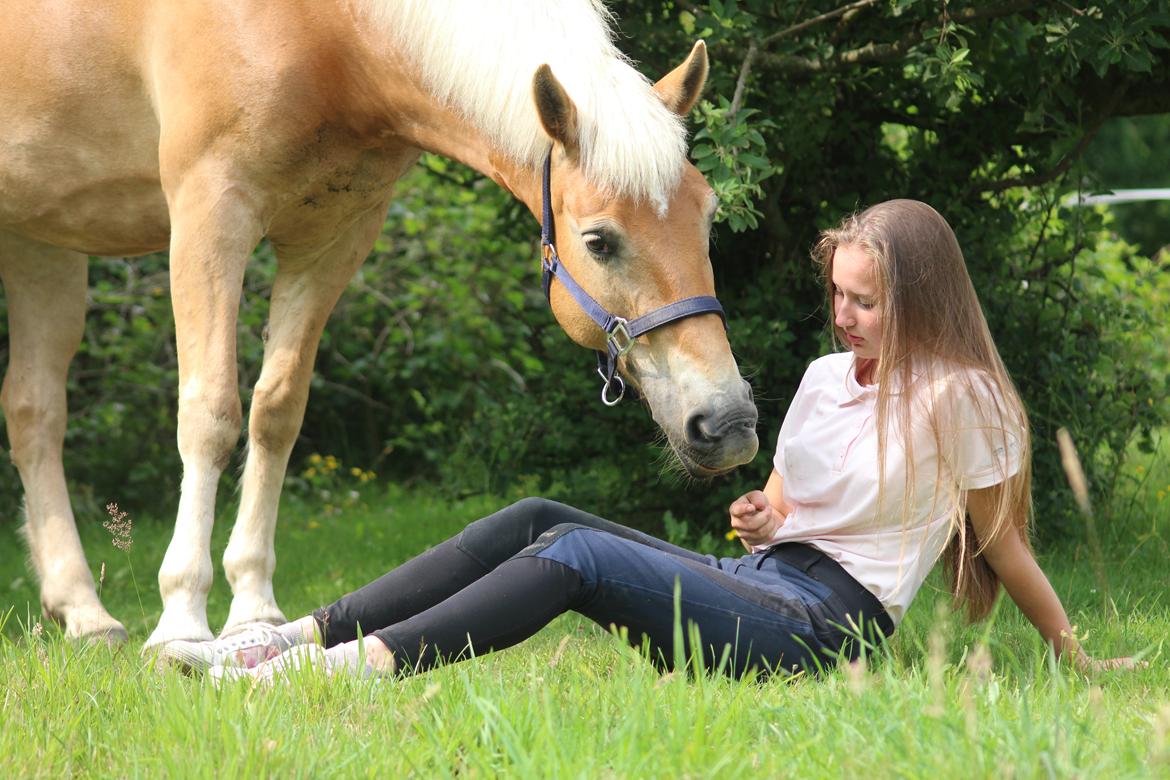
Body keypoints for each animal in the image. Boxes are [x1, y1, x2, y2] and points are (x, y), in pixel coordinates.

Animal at [0, 0, 762, 645]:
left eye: (709, 215)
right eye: (600, 241)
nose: (725, 422)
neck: (326, 31)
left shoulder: (334, 236)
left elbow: (275, 412)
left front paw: (254, 611)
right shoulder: (210, 213)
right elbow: (210, 413)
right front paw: (182, 618)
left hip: (42, 242)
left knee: (33, 410)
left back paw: (84, 613)